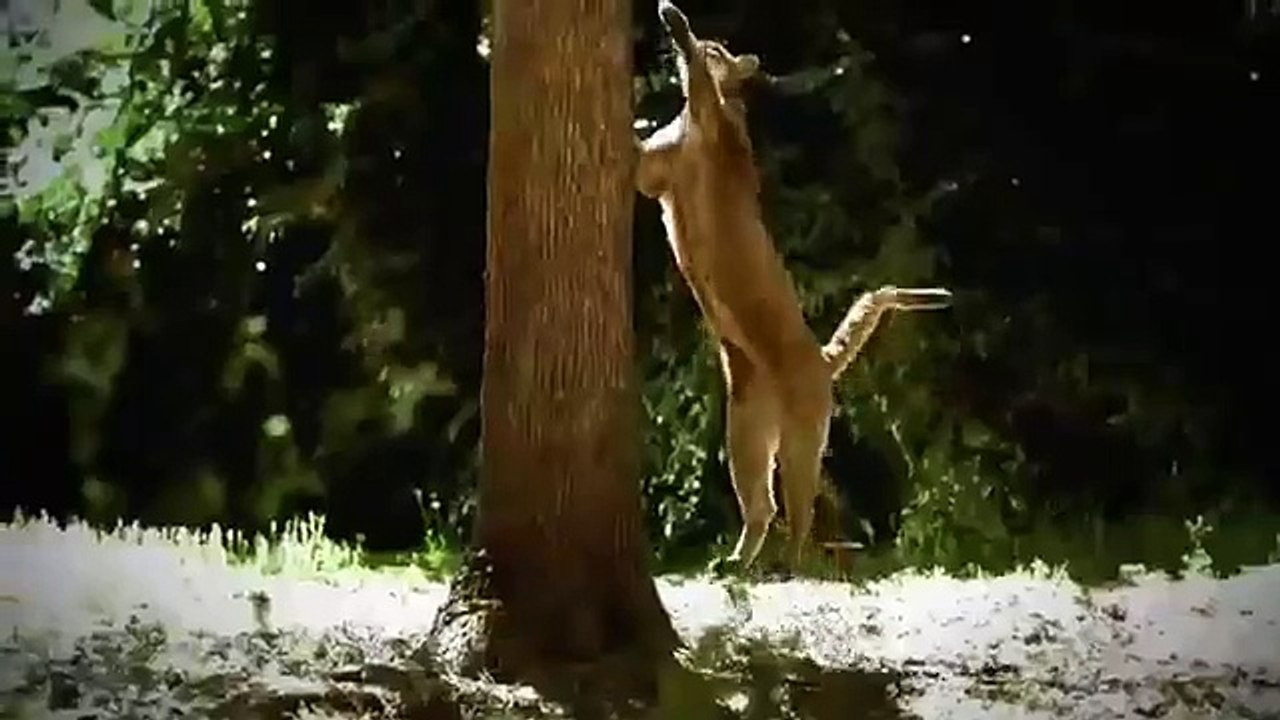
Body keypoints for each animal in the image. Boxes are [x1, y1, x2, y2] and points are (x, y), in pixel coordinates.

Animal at [636, 0, 953, 573]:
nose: (715, 49)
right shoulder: (653, 174)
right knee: (761, 504)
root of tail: (822, 360)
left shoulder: (706, 123)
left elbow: (699, 77)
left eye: (718, 48)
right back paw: (736, 564)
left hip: (802, 443)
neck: (695, 120)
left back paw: (790, 570)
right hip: (746, 434)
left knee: (800, 515)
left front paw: (675, 23)